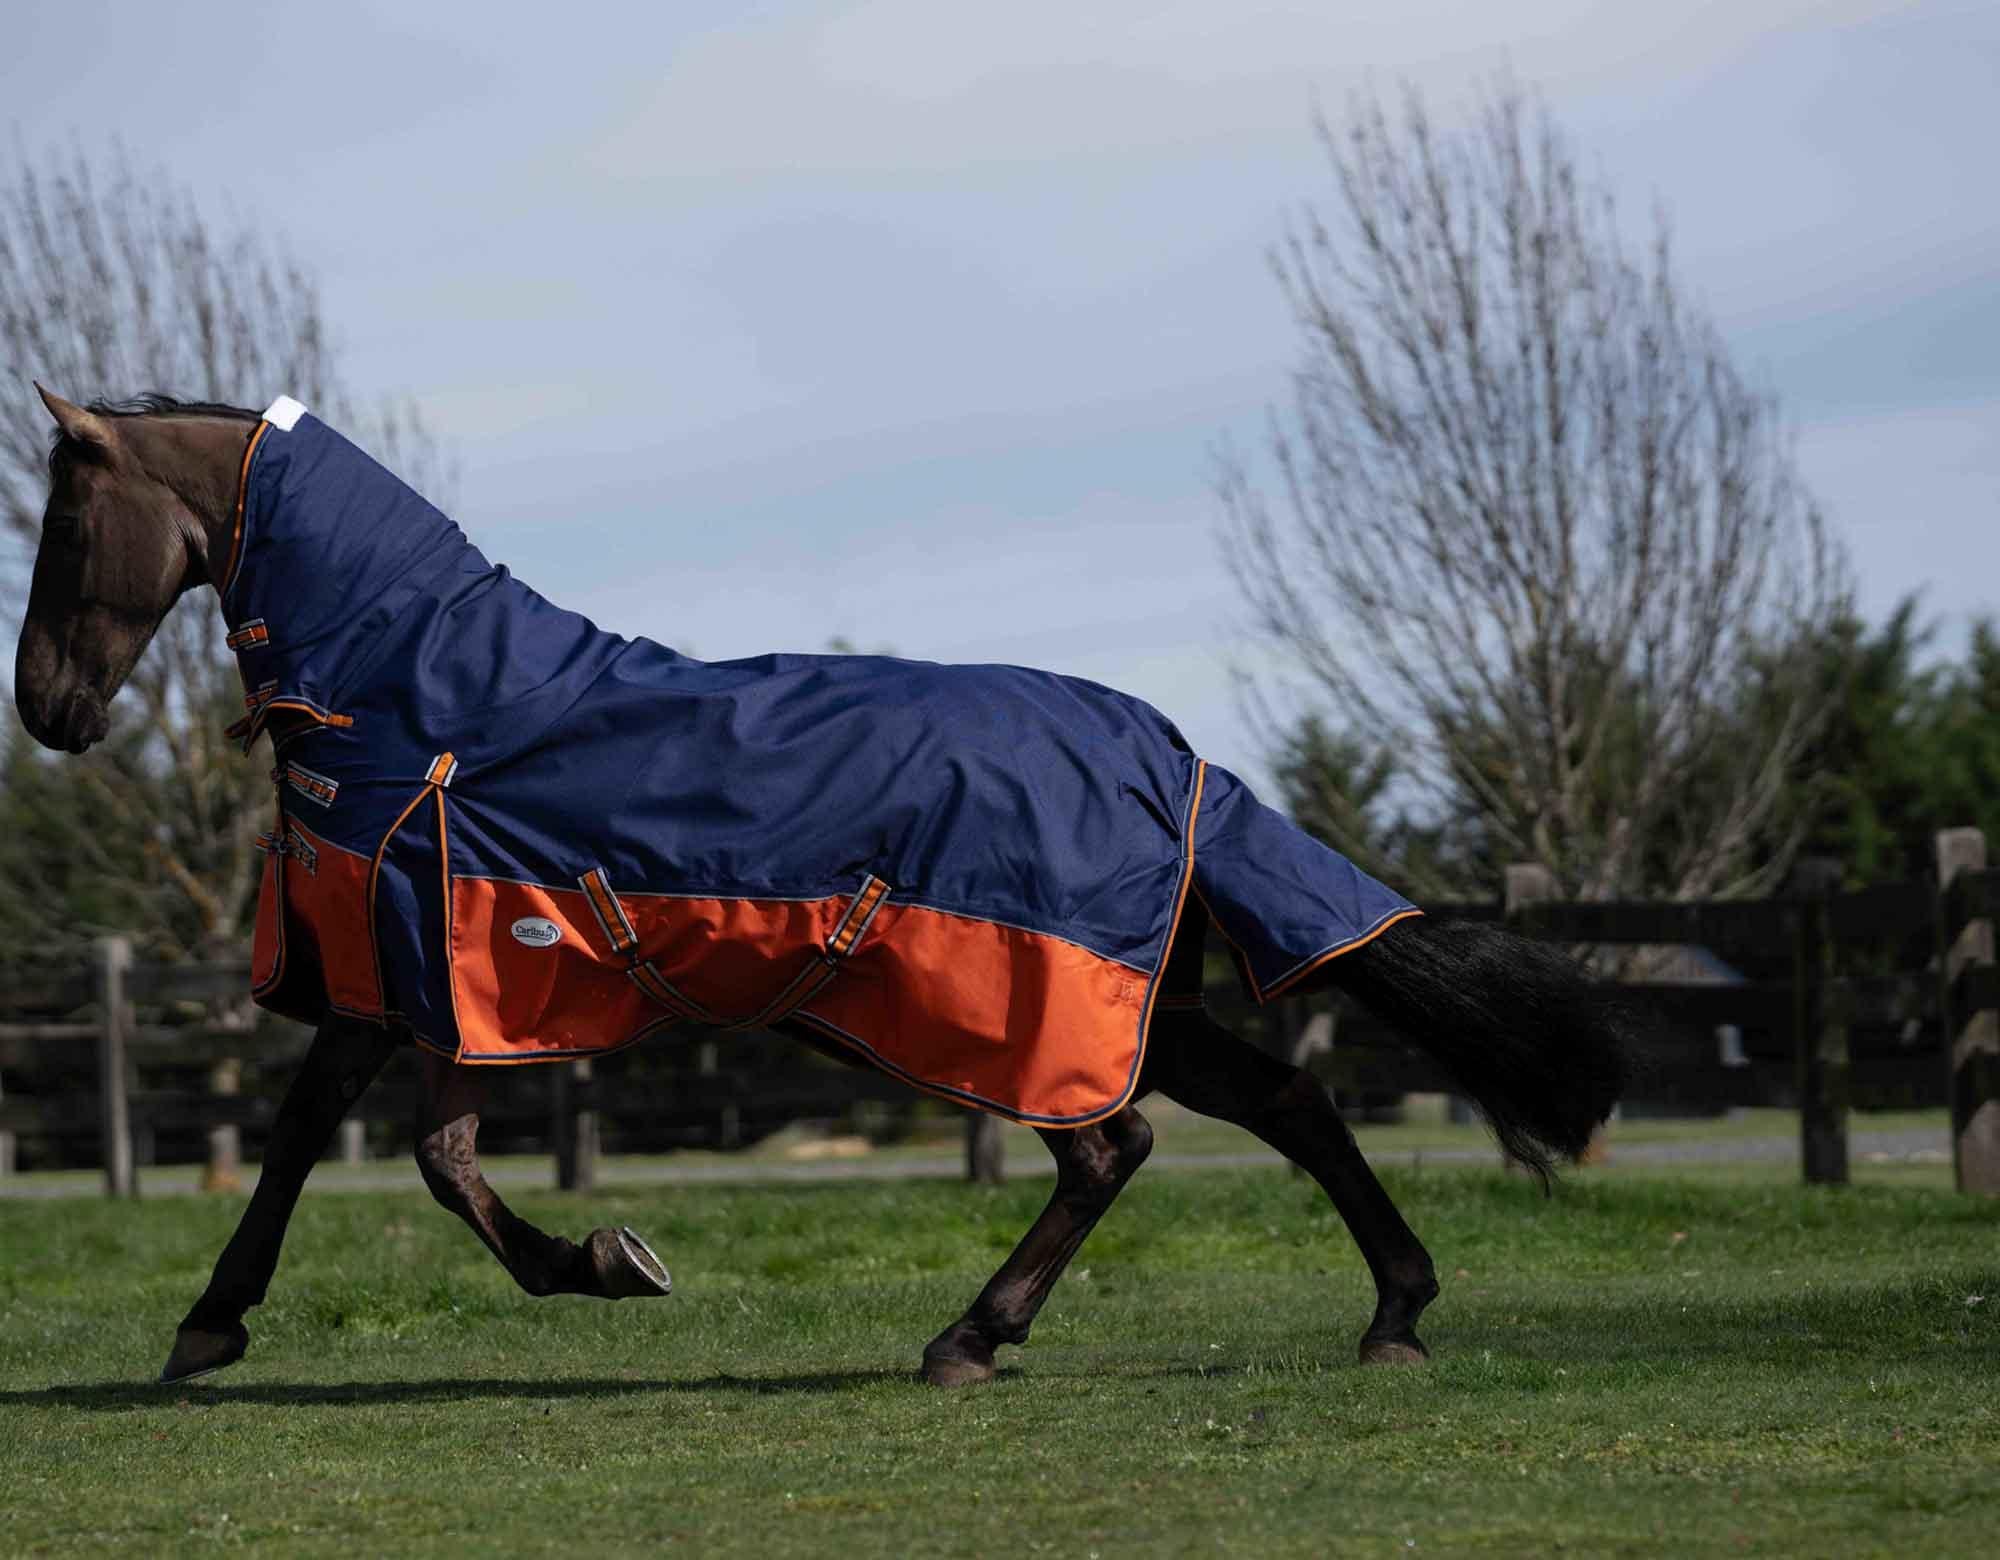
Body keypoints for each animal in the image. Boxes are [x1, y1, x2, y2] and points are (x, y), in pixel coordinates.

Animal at [12, 387, 1629, 1388]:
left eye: (62, 522)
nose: (46, 708)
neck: (435, 700)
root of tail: (1171, 755)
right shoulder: (429, 988)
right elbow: (369, 1149)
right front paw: (220, 1325)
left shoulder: (421, 971)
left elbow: (395, 1156)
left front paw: (599, 1264)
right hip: (1135, 1005)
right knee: (1280, 1103)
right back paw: (1391, 1311)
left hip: (1051, 1008)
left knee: (1112, 1152)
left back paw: (973, 1338)